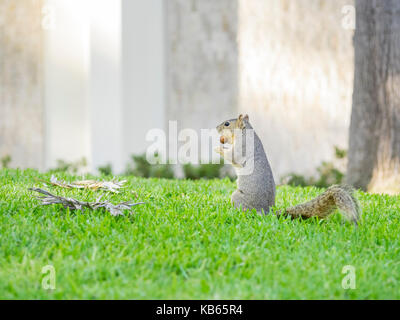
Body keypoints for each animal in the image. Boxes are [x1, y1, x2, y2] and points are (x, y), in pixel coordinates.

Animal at [217, 115, 360, 225]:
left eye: (227, 124)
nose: (217, 128)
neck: (245, 133)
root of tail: (265, 211)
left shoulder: (242, 148)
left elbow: (233, 156)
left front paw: (218, 148)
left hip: (237, 198)